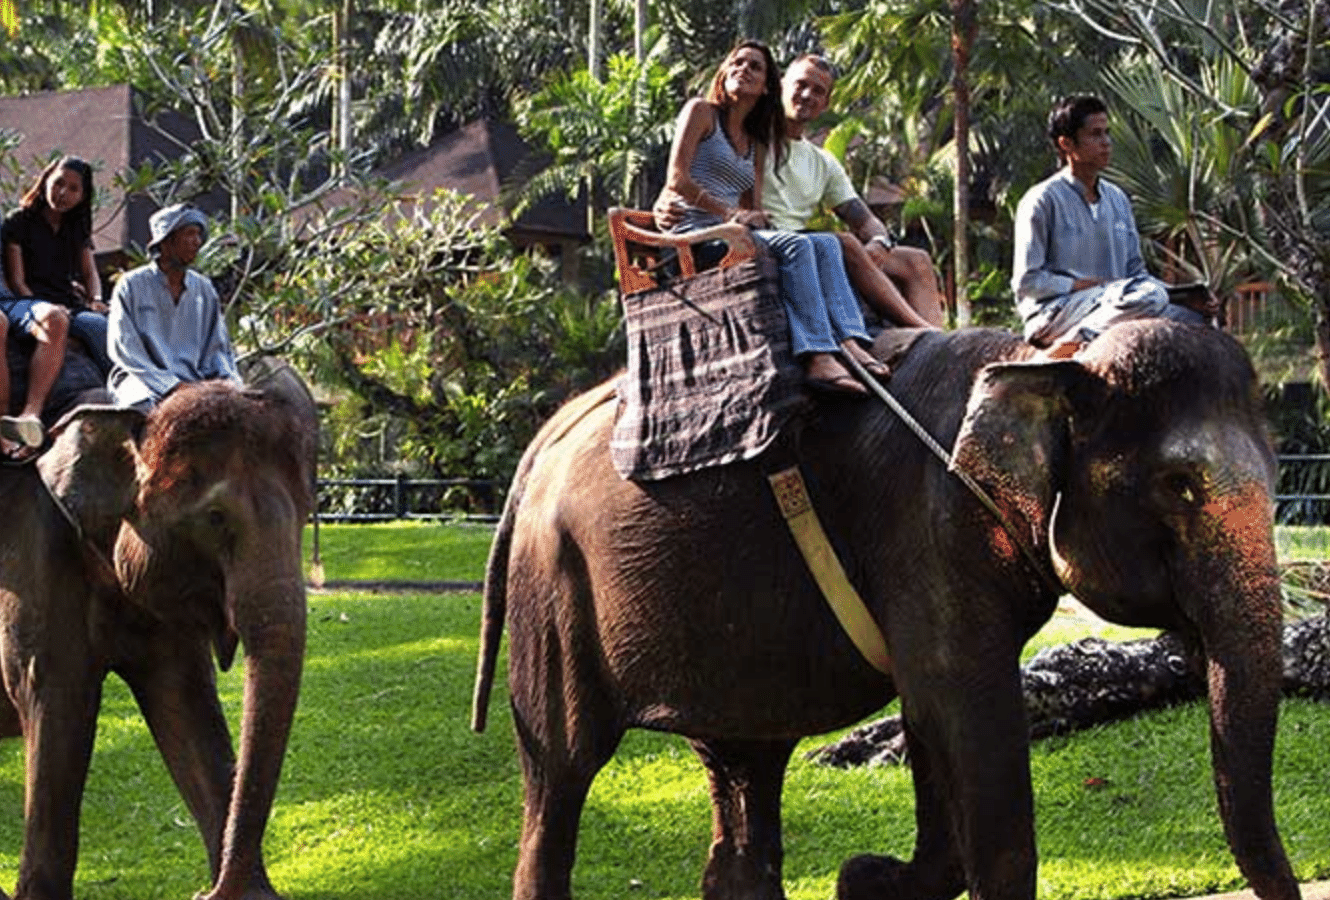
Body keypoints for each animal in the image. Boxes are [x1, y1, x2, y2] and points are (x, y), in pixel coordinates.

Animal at [0, 364, 315, 898]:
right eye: (214, 518)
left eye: (308, 510)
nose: (206, 891)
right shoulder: (33, 554)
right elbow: (57, 703)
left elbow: (184, 702)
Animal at [473, 319, 1303, 898]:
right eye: (1179, 486)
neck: (1044, 359)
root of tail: (545, 436)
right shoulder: (928, 529)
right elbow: (966, 713)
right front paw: (863, 875)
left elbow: (930, 719)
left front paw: (862, 878)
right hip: (554, 589)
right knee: (562, 770)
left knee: (744, 766)